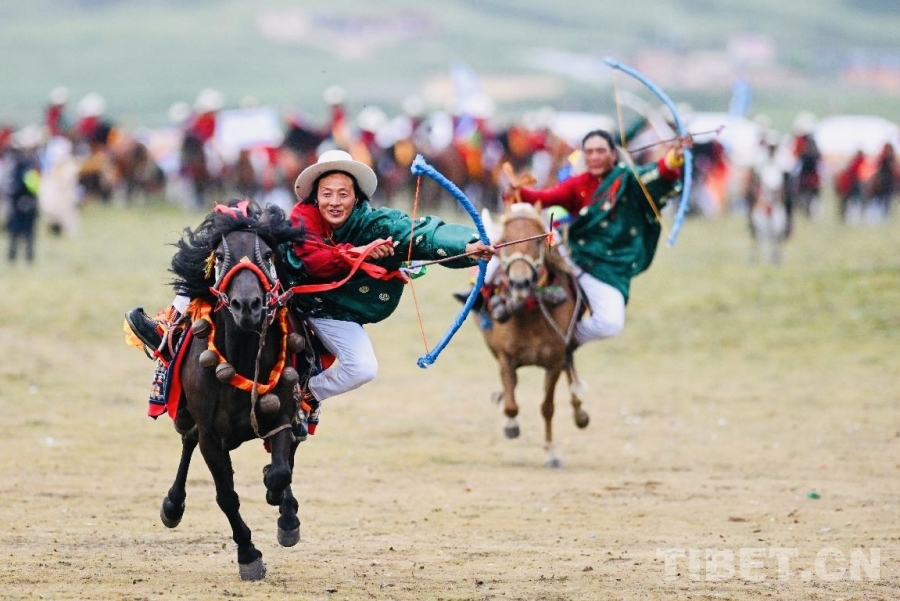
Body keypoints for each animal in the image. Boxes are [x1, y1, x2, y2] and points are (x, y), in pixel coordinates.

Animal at [159, 200, 314, 580]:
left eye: (269, 255)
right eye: (220, 256)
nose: (248, 305)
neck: (243, 358)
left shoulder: (282, 412)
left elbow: (281, 469)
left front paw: (282, 508)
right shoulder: (211, 436)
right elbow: (226, 494)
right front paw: (248, 555)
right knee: (188, 441)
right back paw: (173, 505)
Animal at [478, 202, 590, 468]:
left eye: (538, 241)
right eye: (504, 241)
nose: (520, 283)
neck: (529, 314)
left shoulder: (554, 360)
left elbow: (547, 406)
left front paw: (551, 452)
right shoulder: (505, 358)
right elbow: (511, 405)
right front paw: (510, 424)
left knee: (570, 373)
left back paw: (580, 411)